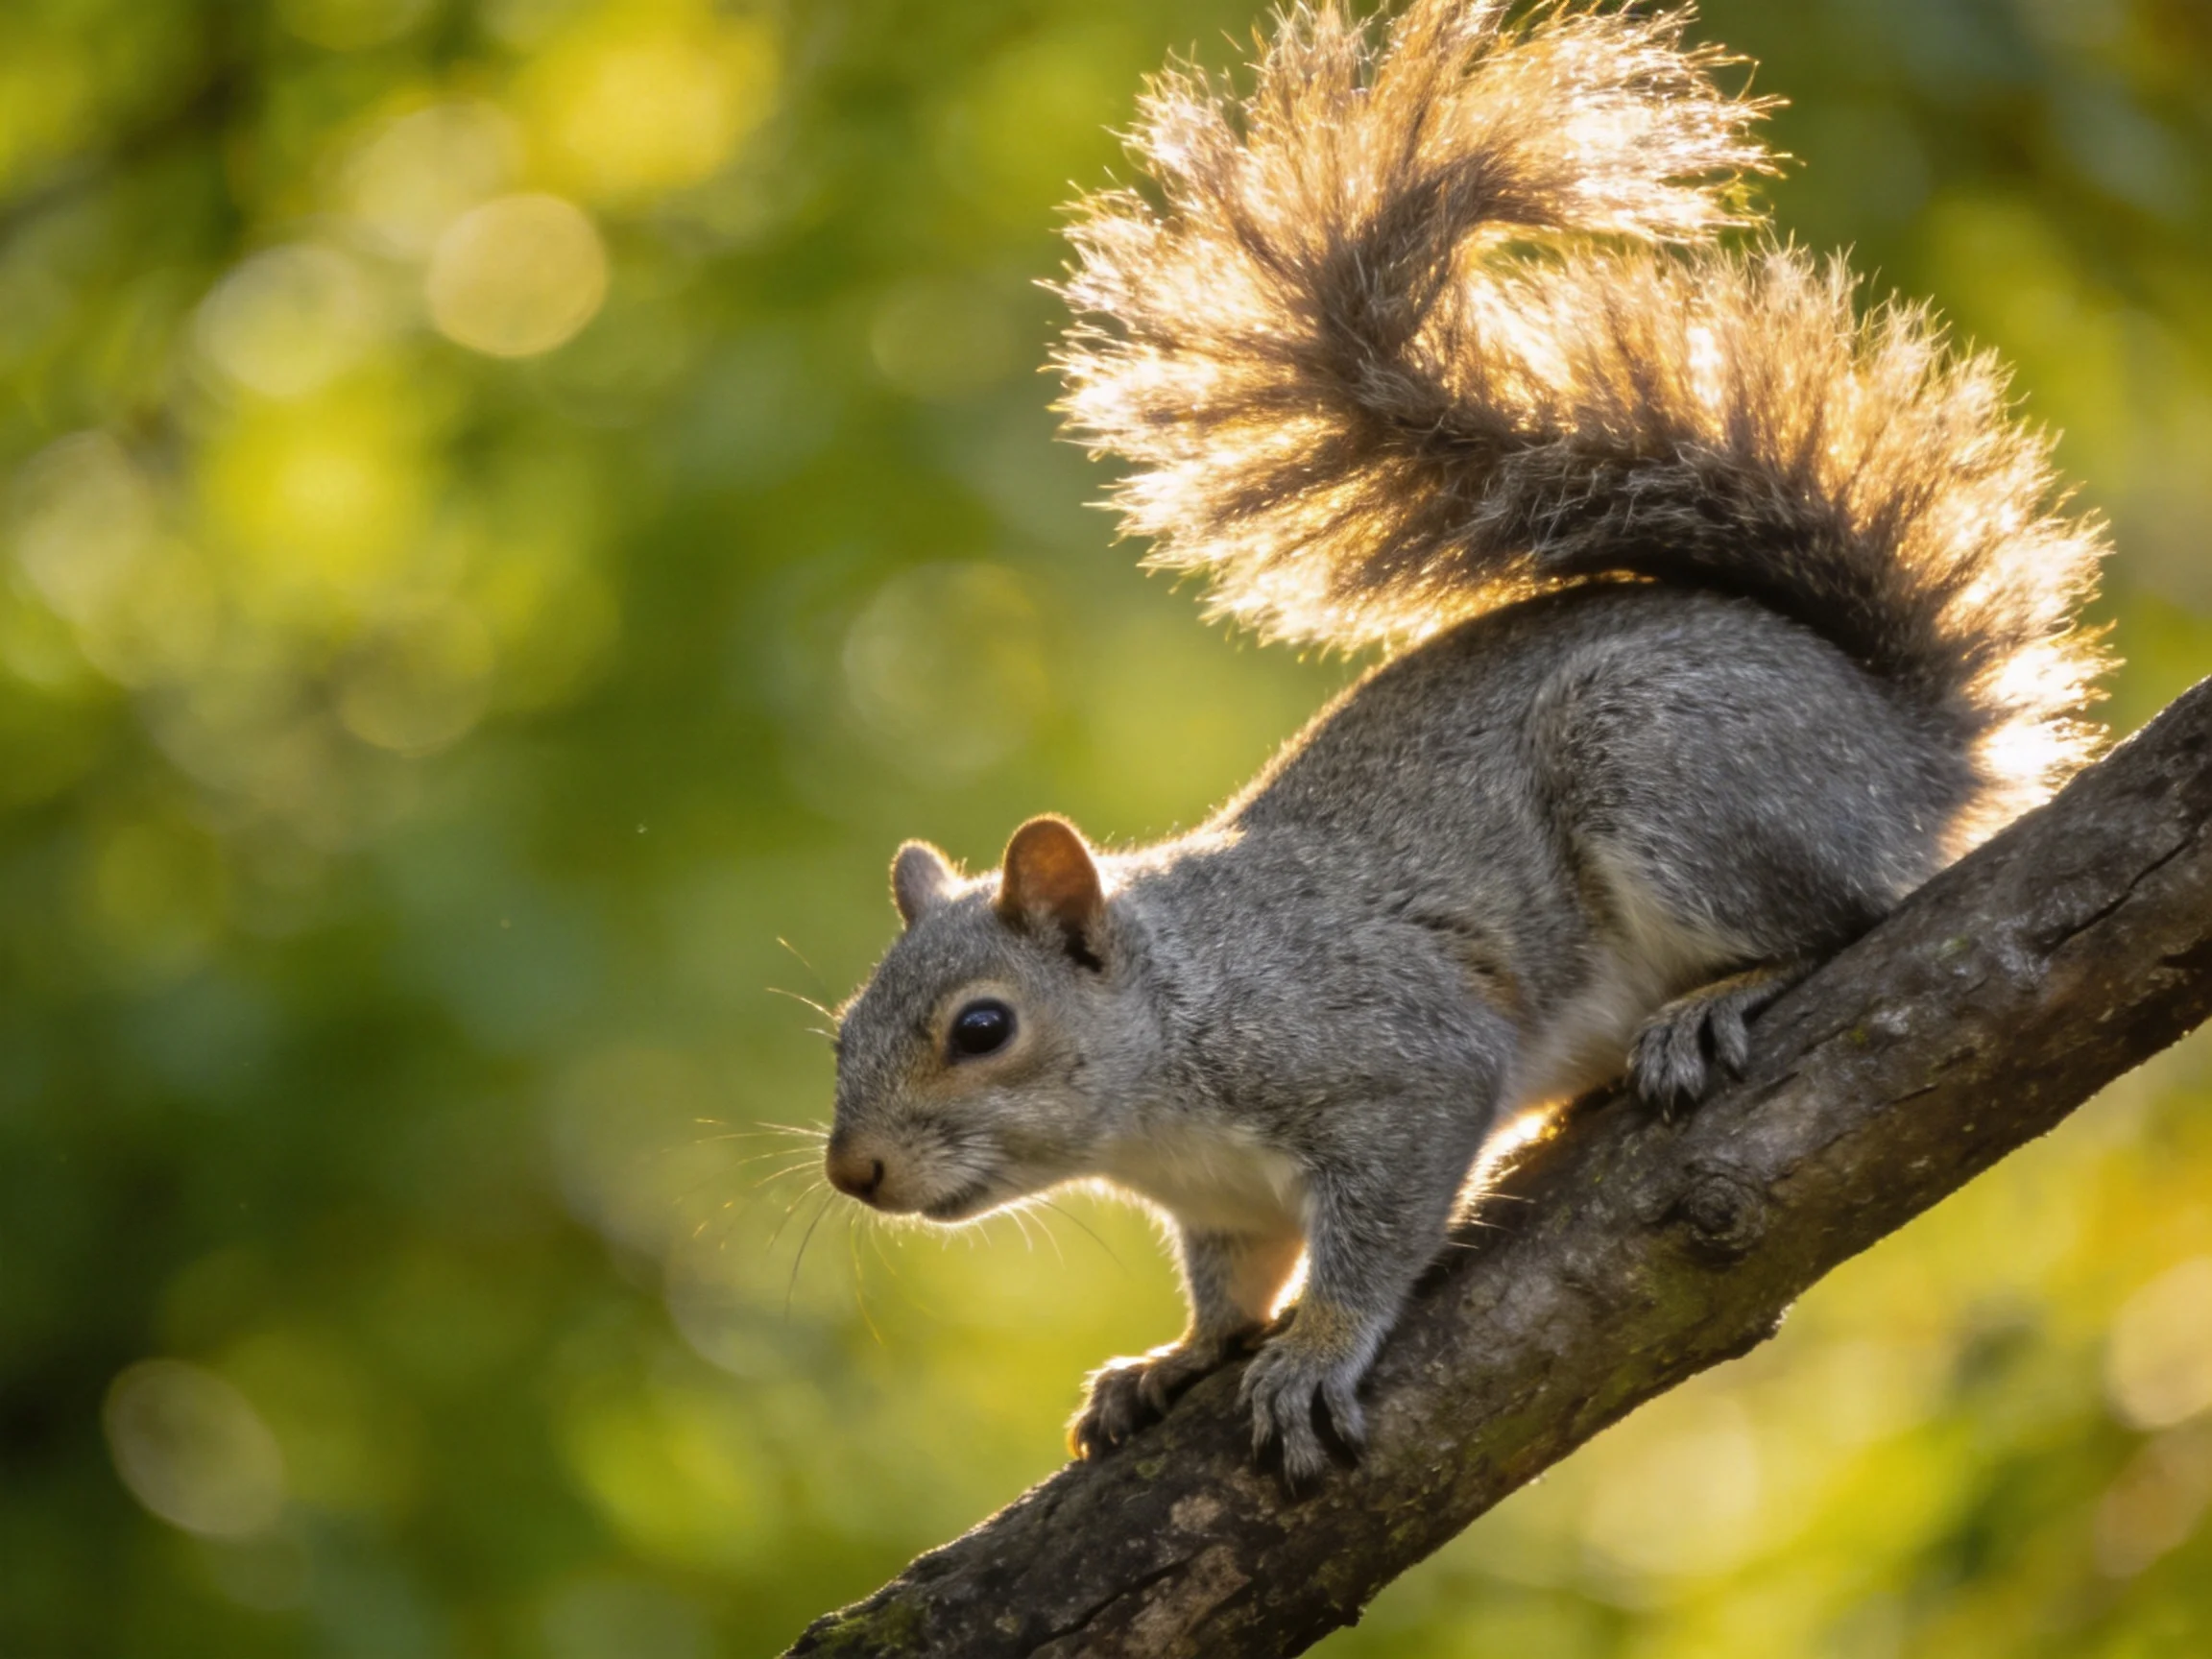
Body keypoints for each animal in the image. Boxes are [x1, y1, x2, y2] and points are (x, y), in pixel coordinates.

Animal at [821, 0, 2107, 1486]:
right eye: (843, 1030)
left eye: (983, 1028)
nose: (853, 1173)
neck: (1166, 1057)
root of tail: (1903, 738)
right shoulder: (1224, 1207)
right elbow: (1229, 1283)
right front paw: (1176, 1359)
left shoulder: (1395, 1059)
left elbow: (1376, 1232)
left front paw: (1318, 1351)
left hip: (1667, 764)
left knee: (1851, 911)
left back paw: (1720, 996)